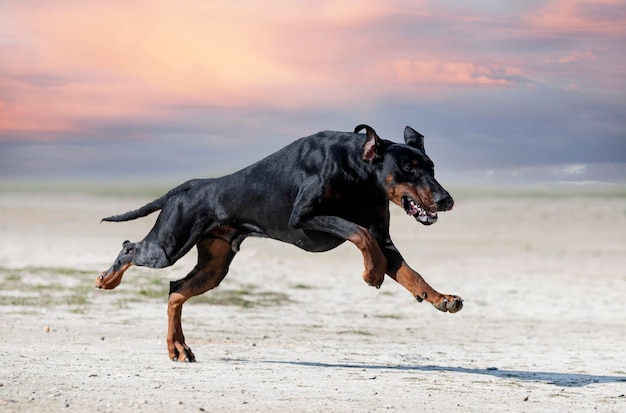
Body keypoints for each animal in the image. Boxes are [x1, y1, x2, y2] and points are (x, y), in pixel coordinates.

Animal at [95, 123, 460, 360]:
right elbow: (360, 233)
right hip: (168, 245)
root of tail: (185, 187)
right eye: (408, 167)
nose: (446, 200)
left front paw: (441, 298)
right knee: (130, 248)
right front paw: (372, 273)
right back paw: (107, 280)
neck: (359, 170)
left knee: (175, 290)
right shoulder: (305, 217)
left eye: (431, 166)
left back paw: (178, 347)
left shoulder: (383, 238)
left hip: (214, 267)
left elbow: (409, 272)